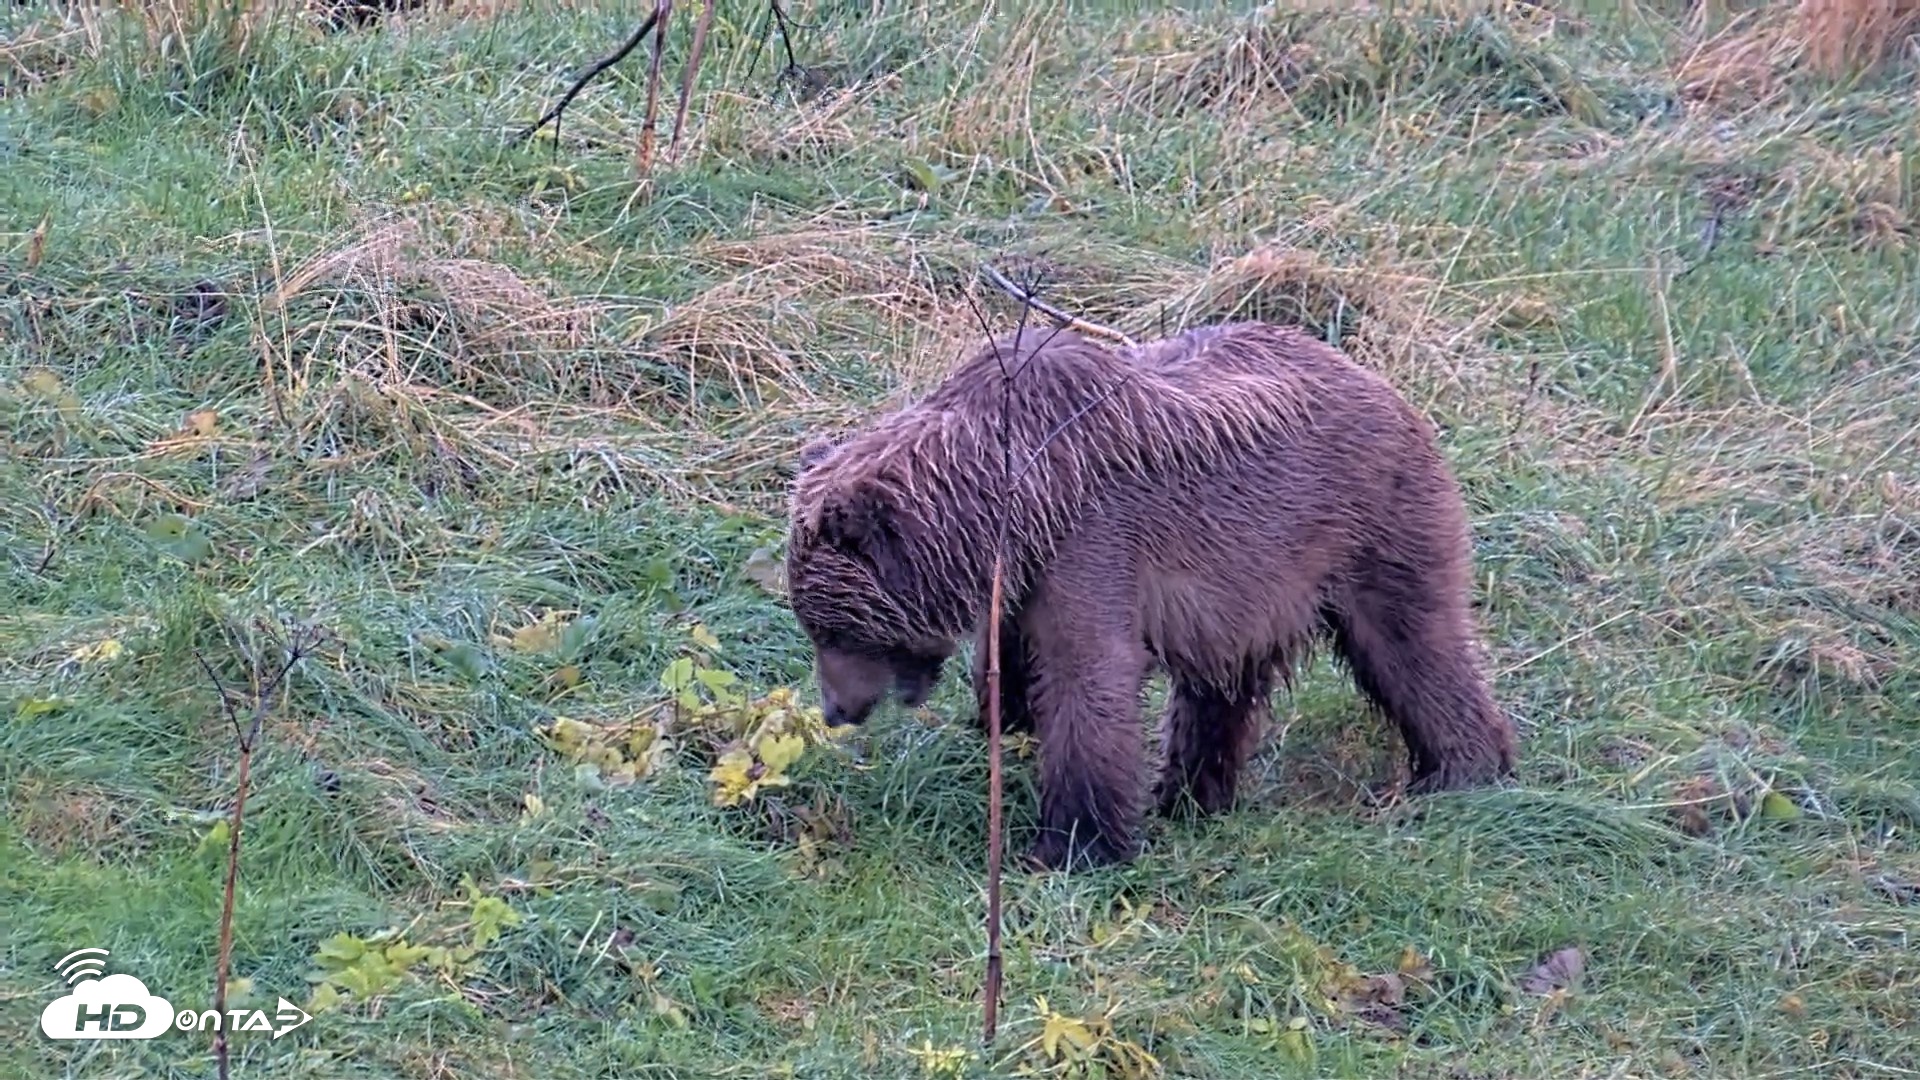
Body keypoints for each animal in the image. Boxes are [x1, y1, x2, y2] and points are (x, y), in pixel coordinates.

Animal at [784, 320, 1516, 871]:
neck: (1006, 497)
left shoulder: (1094, 540)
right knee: (1219, 689)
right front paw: (1004, 729)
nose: (835, 709)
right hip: (1249, 579)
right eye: (815, 626)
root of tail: (1392, 390)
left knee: (1412, 644)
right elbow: (1013, 659)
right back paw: (1192, 794)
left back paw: (1459, 771)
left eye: (835, 630)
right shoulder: (1025, 577)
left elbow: (1089, 675)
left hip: (1364, 523)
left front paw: (1071, 846)